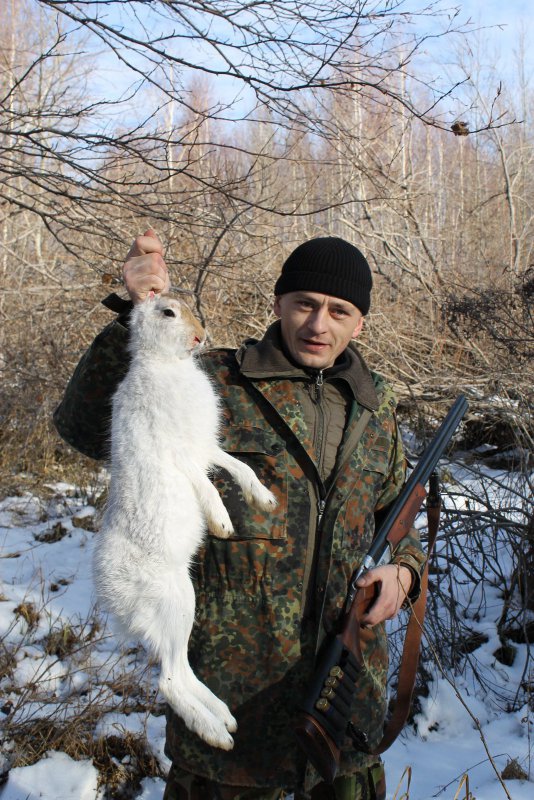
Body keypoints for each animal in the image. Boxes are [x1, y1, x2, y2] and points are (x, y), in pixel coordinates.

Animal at [94, 293, 277, 751]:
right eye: (167, 313)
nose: (200, 336)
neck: (166, 363)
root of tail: (107, 593)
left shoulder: (206, 447)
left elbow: (237, 466)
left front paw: (263, 498)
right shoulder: (177, 451)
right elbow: (205, 485)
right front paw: (222, 523)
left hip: (184, 601)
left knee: (182, 670)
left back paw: (223, 717)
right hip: (171, 601)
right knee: (169, 681)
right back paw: (216, 734)